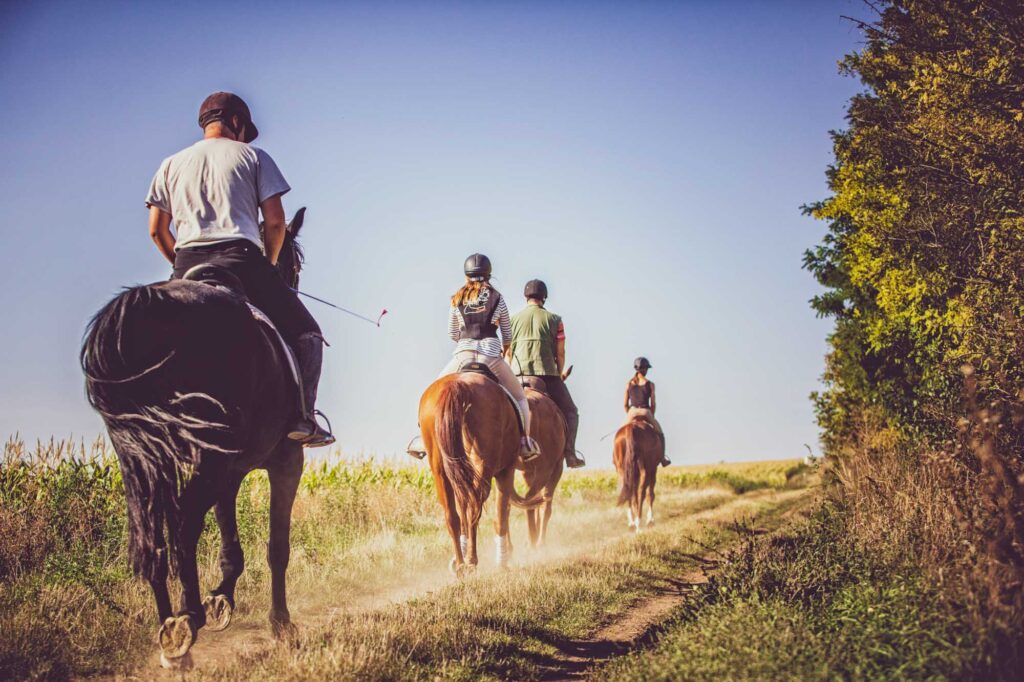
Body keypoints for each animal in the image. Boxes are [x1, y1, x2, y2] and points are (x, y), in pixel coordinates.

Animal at [81, 209, 307, 667]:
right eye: (295, 262)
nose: (291, 280)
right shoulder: (285, 461)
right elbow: (277, 547)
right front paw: (281, 624)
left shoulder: (230, 469)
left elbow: (229, 539)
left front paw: (222, 599)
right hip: (207, 457)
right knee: (183, 527)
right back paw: (187, 621)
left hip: (145, 459)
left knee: (155, 537)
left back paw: (172, 633)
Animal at [417, 368, 548, 569]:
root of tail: (457, 385)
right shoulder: (506, 470)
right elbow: (501, 515)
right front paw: (503, 562)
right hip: (483, 466)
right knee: (474, 508)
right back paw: (472, 560)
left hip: (441, 471)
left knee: (453, 516)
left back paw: (460, 564)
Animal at [520, 382, 569, 548]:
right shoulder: (556, 468)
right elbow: (545, 504)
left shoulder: (528, 473)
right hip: (547, 469)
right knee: (537, 501)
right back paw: (536, 541)